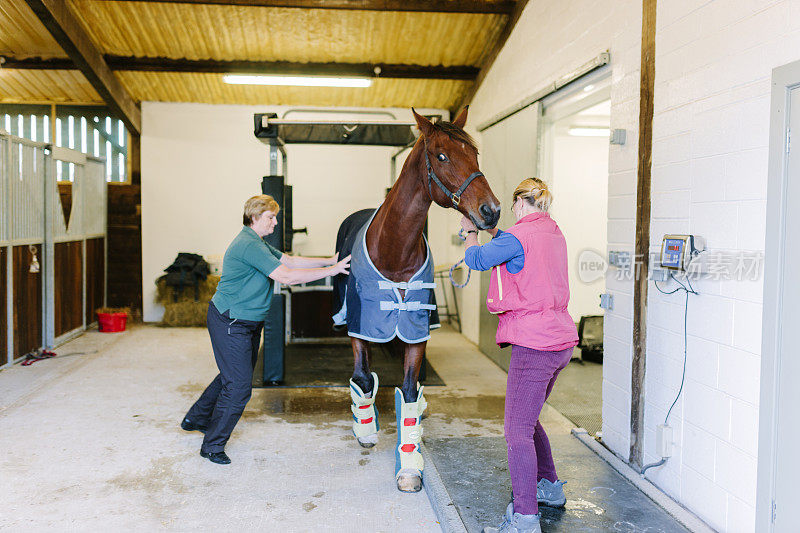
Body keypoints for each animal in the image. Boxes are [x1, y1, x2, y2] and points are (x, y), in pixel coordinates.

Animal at [332, 107, 500, 490]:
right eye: (441, 156)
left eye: (475, 153)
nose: (491, 211)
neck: (394, 250)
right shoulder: (361, 325)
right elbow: (363, 377)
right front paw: (365, 429)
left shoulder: (415, 328)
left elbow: (409, 390)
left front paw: (409, 467)